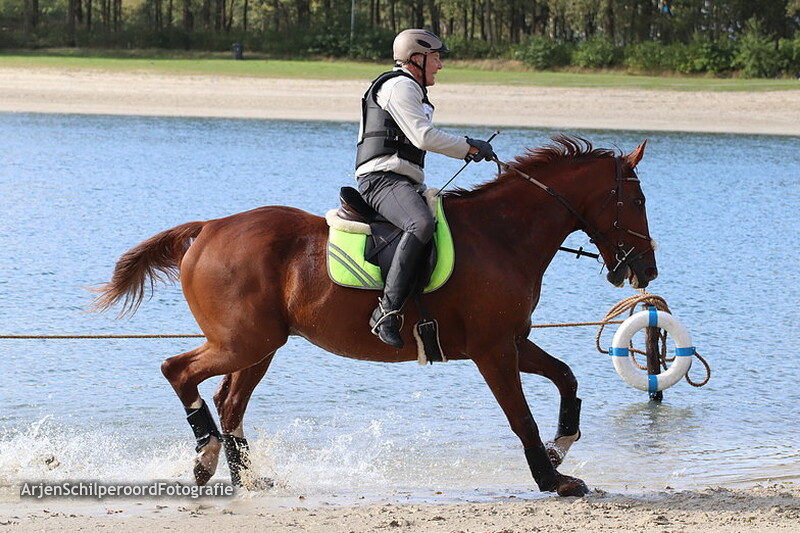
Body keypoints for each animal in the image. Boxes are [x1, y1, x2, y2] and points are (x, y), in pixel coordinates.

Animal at [93, 135, 657, 497]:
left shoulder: (513, 342)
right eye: (636, 200)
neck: (503, 234)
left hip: (260, 347)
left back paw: (245, 478)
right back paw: (206, 458)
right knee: (179, 371)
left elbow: (566, 377)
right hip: (244, 342)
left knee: (229, 402)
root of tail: (208, 227)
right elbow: (520, 417)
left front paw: (560, 450)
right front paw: (552, 479)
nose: (646, 271)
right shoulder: (493, 350)